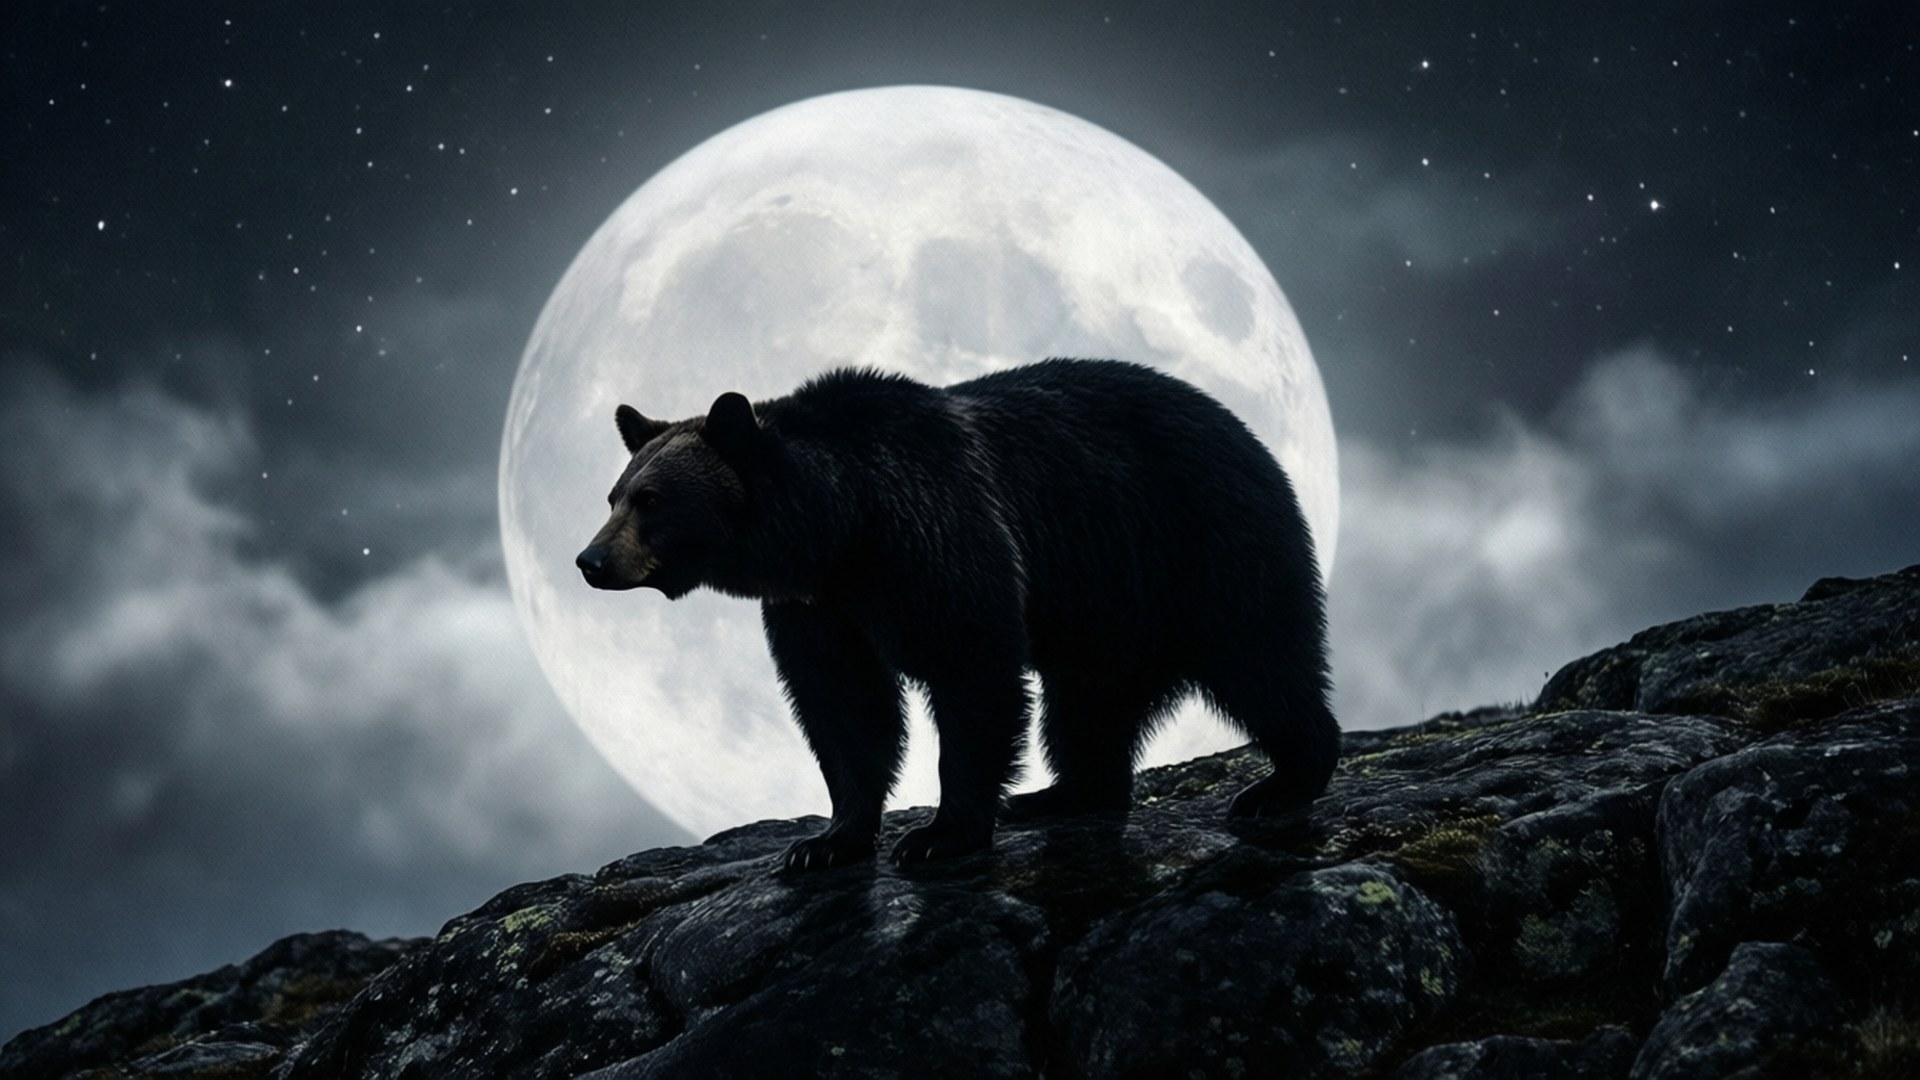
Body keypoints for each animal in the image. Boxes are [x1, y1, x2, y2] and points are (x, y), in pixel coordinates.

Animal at [575, 358, 1338, 869]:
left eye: (651, 500)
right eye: (613, 495)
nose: (590, 561)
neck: (840, 527)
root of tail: (1242, 428)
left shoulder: (934, 540)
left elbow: (971, 671)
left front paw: (939, 834)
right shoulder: (819, 608)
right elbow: (843, 705)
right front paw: (825, 841)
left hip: (1199, 548)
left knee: (1262, 659)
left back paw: (1283, 781)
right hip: (1108, 611)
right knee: (1088, 706)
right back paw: (1063, 794)